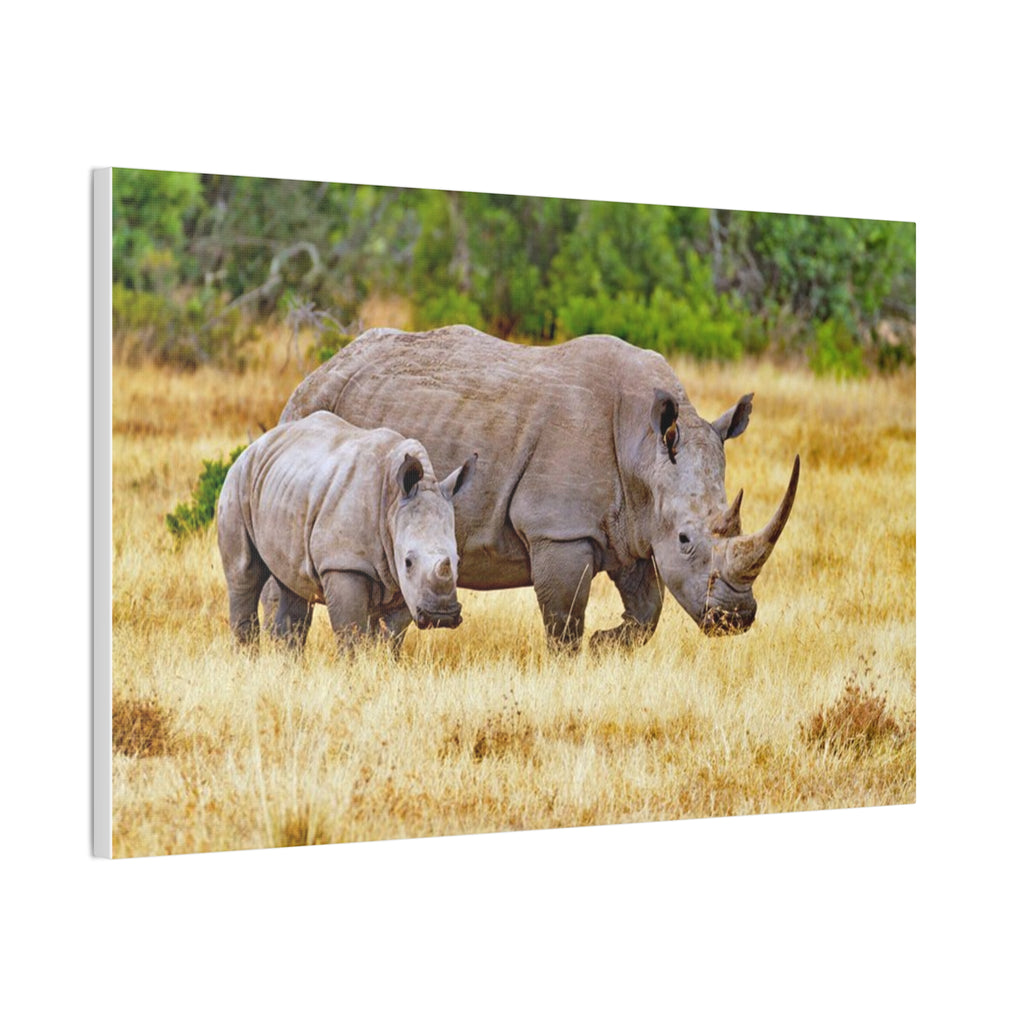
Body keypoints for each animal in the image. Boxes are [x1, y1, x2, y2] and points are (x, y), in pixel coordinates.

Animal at [217, 410, 475, 652]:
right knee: (244, 574)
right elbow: (350, 632)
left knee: (293, 584)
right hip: (238, 480)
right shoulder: (344, 563)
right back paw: (247, 657)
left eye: (457, 561)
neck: (392, 502)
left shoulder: (403, 580)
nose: (440, 617)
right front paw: (353, 665)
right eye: (408, 562)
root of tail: (257, 444)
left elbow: (391, 634)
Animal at [277, 325, 799, 651]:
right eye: (686, 540)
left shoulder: (629, 524)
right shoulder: (559, 529)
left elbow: (648, 608)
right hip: (309, 411)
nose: (735, 618)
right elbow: (564, 618)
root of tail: (318, 370)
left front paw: (607, 644)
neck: (644, 448)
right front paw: (576, 659)